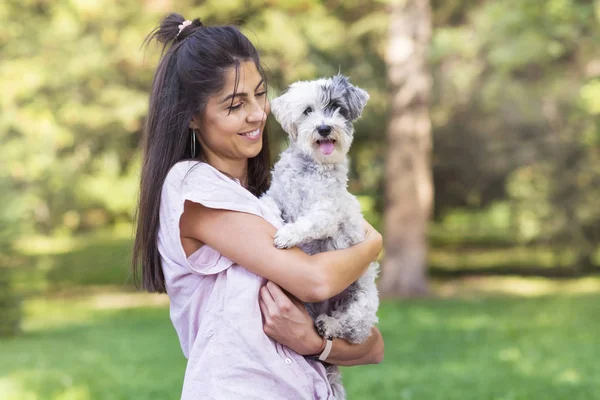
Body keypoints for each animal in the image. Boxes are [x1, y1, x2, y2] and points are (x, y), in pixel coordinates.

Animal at [258, 73, 380, 398]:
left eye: (337, 107)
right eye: (308, 111)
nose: (324, 128)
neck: (309, 169)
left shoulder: (327, 210)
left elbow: (308, 222)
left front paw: (287, 235)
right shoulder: (277, 194)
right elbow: (267, 203)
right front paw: (272, 218)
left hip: (363, 306)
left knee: (349, 329)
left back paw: (327, 325)